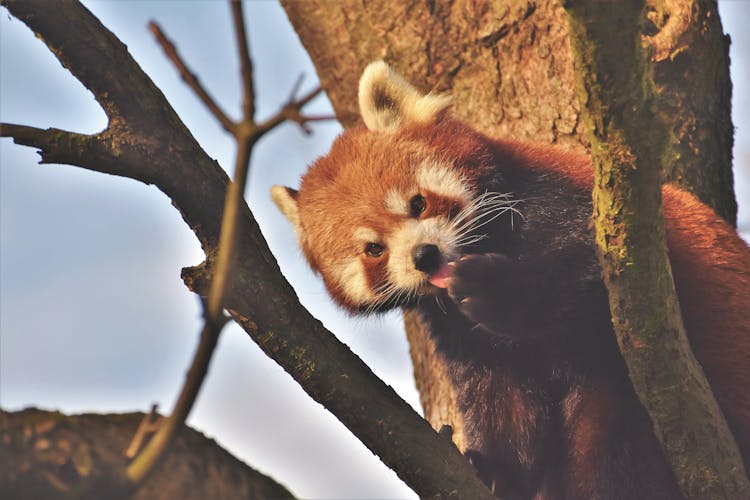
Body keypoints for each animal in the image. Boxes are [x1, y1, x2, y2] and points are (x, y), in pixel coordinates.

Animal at [272, 63, 750, 500]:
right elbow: (501, 395)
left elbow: (577, 279)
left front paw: (493, 290)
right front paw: (493, 470)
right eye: (374, 249)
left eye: (418, 203)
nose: (425, 256)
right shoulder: (458, 332)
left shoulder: (584, 216)